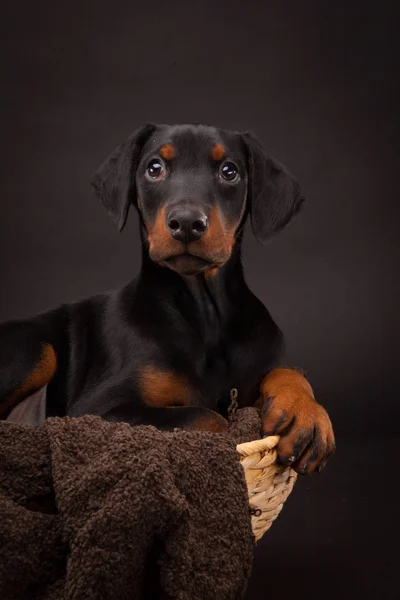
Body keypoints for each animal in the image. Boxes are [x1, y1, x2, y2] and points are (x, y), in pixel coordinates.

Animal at [0, 124, 334, 476]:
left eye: (229, 171)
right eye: (154, 168)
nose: (187, 223)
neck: (205, 313)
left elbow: (287, 372)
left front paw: (305, 413)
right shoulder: (94, 411)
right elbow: (207, 417)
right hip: (36, 350)